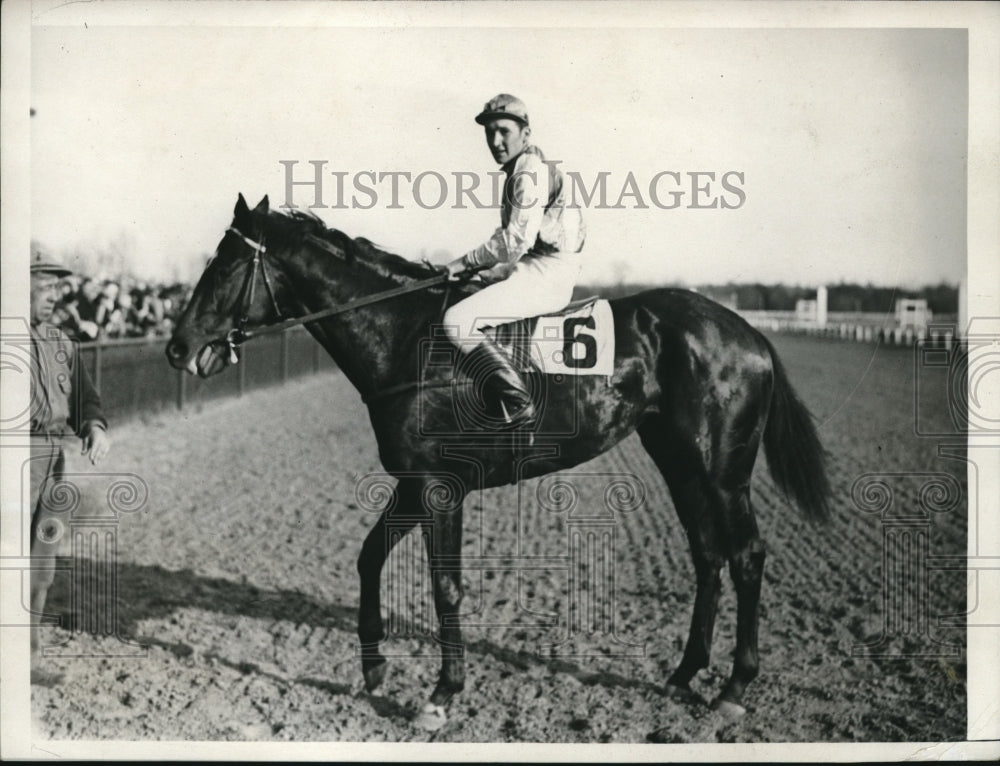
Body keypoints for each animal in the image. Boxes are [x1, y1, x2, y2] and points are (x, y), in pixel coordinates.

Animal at [168, 195, 832, 736]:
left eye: (224, 265)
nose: (178, 347)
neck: (405, 339)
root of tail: (748, 333)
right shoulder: (413, 483)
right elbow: (368, 557)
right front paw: (375, 666)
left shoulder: (440, 489)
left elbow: (445, 585)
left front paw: (442, 694)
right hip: (680, 463)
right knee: (708, 555)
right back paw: (685, 673)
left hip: (723, 472)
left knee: (746, 556)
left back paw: (734, 687)